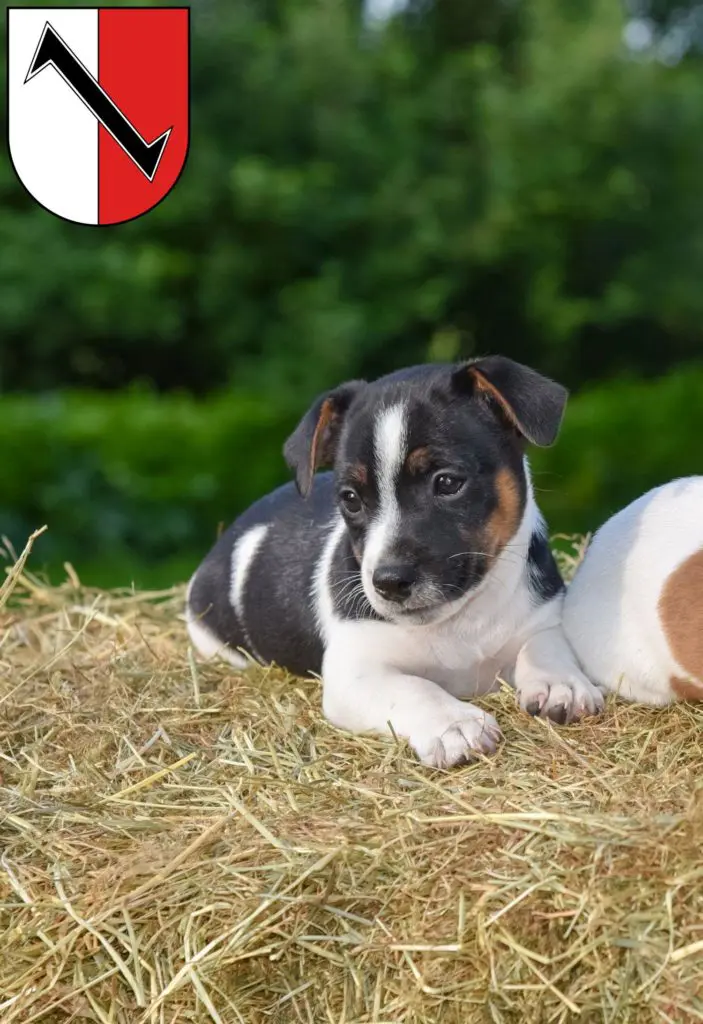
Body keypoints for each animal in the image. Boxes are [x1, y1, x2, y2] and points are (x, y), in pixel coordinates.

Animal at [187, 360, 605, 770]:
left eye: (447, 482)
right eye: (350, 498)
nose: (389, 582)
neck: (459, 619)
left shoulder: (544, 619)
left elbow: (543, 647)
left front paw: (559, 683)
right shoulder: (355, 673)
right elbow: (414, 688)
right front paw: (455, 724)